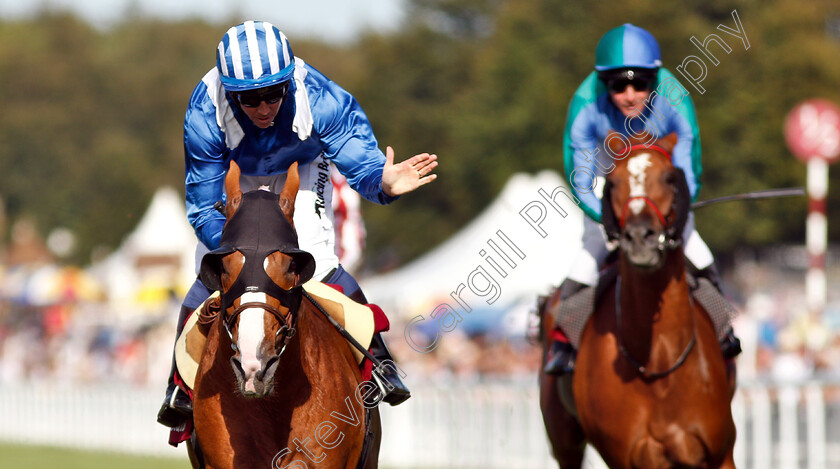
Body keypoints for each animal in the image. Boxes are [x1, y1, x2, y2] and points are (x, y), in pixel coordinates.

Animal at [540, 133, 732, 468]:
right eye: (613, 182)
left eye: (669, 177)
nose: (641, 237)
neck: (658, 363)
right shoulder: (628, 457)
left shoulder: (719, 452)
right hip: (564, 440)